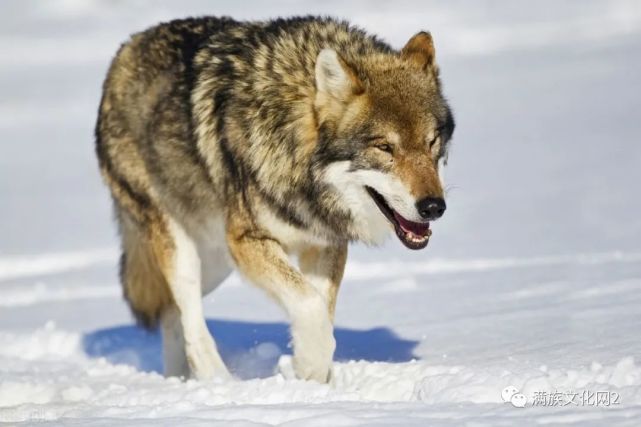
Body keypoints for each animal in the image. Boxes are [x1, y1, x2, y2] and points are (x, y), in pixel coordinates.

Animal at [95, 16, 456, 384]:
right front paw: (309, 367)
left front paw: (312, 376)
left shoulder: (324, 244)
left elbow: (319, 307)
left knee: (172, 312)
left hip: (215, 260)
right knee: (191, 322)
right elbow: (311, 307)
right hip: (184, 249)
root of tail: (125, 50)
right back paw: (219, 383)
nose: (433, 207)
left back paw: (179, 381)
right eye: (385, 147)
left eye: (431, 142)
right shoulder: (247, 241)